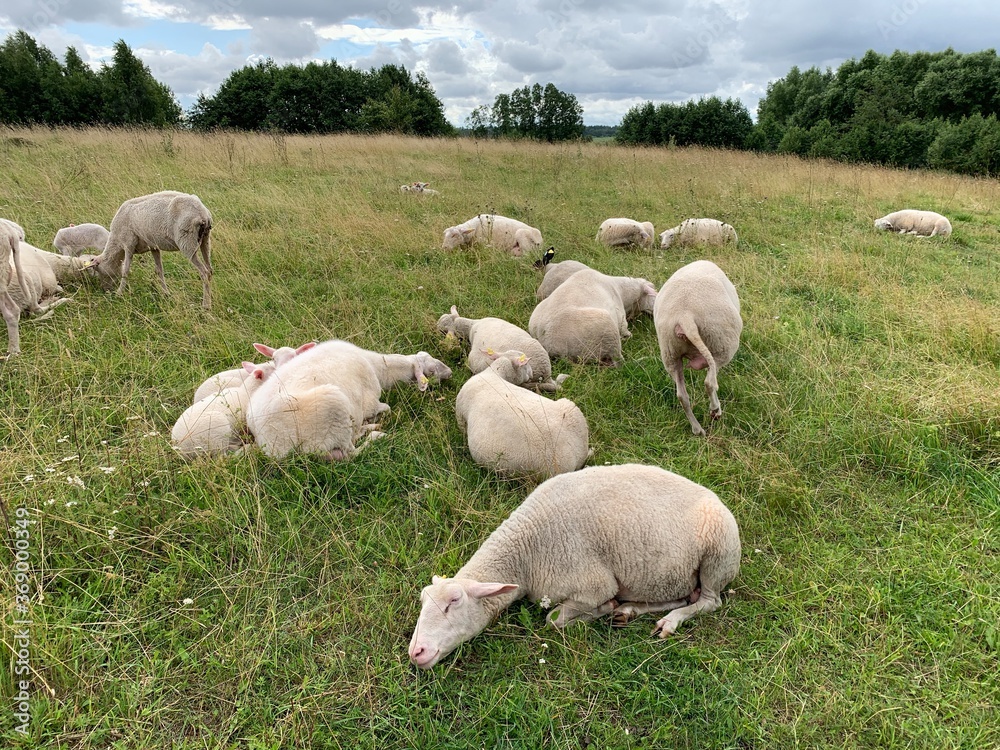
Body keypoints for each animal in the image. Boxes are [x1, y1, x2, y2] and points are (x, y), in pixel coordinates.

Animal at [408, 463, 741, 669]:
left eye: (454, 602)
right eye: (423, 599)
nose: (415, 652)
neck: (525, 552)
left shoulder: (592, 586)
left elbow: (553, 620)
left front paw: (603, 608)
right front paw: (613, 608)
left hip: (718, 555)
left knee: (709, 602)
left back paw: (668, 620)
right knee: (685, 596)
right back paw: (630, 610)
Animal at [528, 268, 657, 365]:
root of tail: (546, 340)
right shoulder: (621, 320)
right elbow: (625, 330)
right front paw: (628, 335)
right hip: (606, 332)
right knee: (619, 362)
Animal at [654, 260, 742, 437]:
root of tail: (685, 315)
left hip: (670, 353)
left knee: (682, 396)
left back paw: (697, 429)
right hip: (720, 343)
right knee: (709, 382)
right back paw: (715, 411)